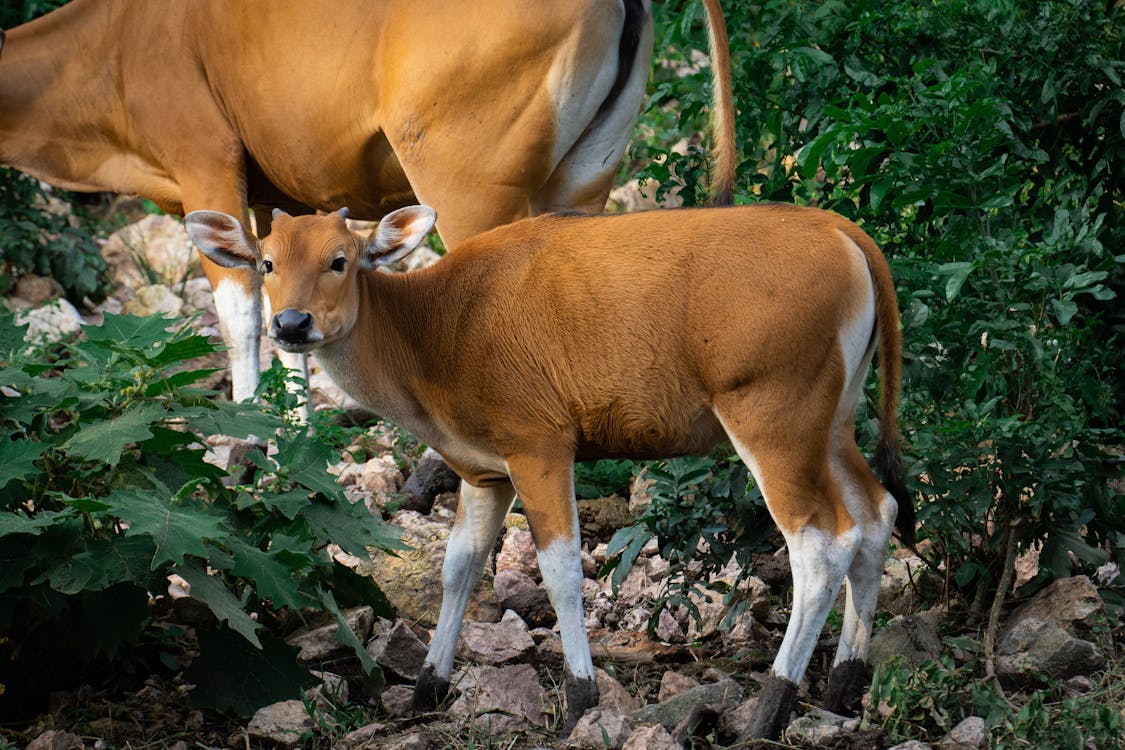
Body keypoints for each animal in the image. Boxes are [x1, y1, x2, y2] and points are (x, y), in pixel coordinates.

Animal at [0, 1, 733, 404]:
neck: (113, 41)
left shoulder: (205, 162)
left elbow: (240, 318)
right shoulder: (274, 211)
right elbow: (287, 323)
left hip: (469, 190)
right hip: (585, 178)